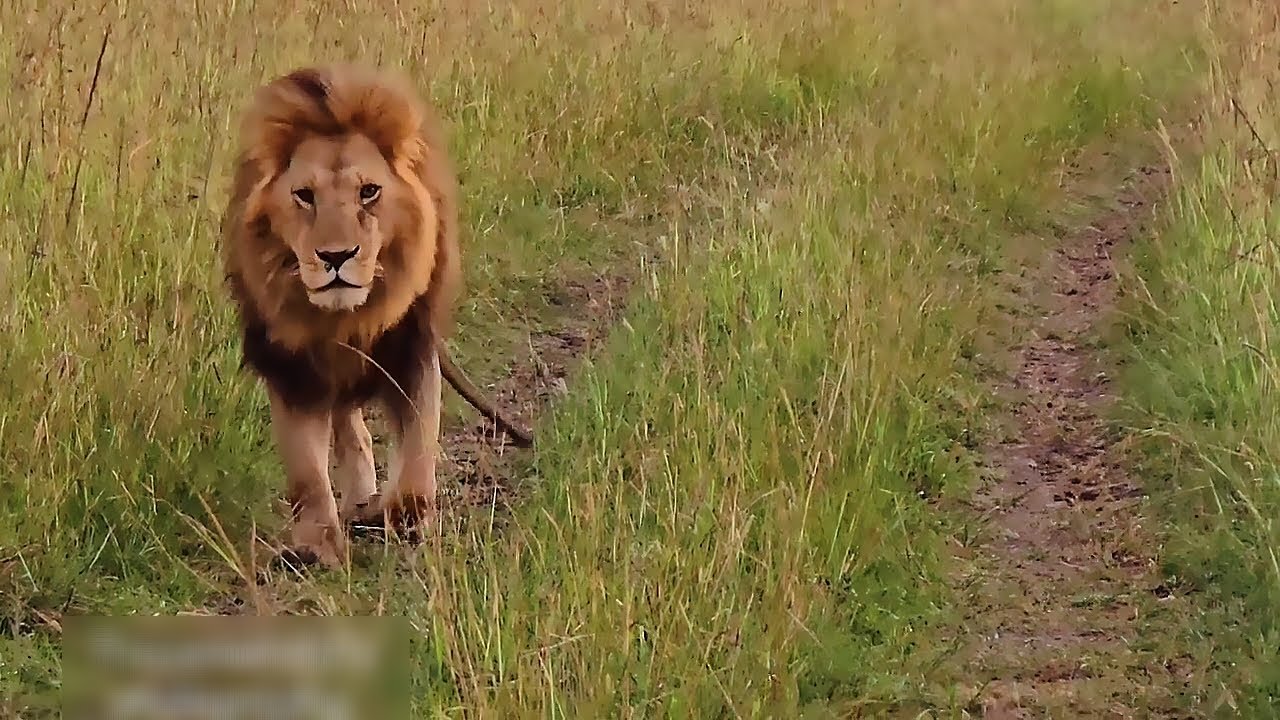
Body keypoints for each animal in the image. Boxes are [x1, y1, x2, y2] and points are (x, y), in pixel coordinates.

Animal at [219, 64, 533, 568]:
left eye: (369, 192)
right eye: (304, 196)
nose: (336, 256)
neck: (345, 318)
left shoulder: (411, 347)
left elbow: (419, 443)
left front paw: (405, 519)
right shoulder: (291, 368)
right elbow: (307, 470)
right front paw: (317, 546)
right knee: (350, 427)